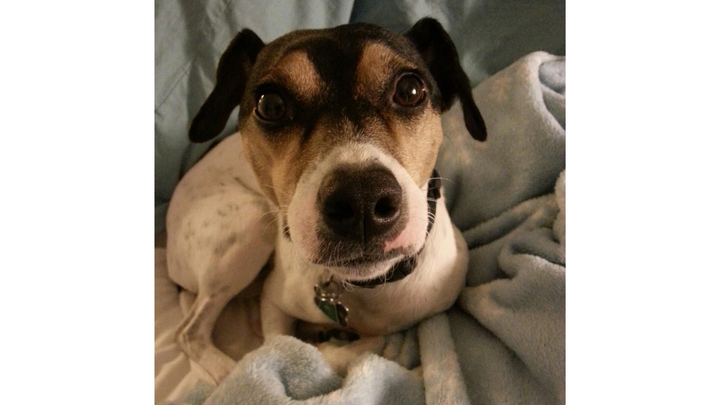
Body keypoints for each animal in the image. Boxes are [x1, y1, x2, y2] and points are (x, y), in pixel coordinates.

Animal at [166, 18, 487, 384]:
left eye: (409, 90)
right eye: (270, 105)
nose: (361, 198)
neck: (363, 288)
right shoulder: (273, 303)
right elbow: (286, 347)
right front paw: (325, 345)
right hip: (248, 229)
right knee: (189, 332)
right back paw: (229, 372)